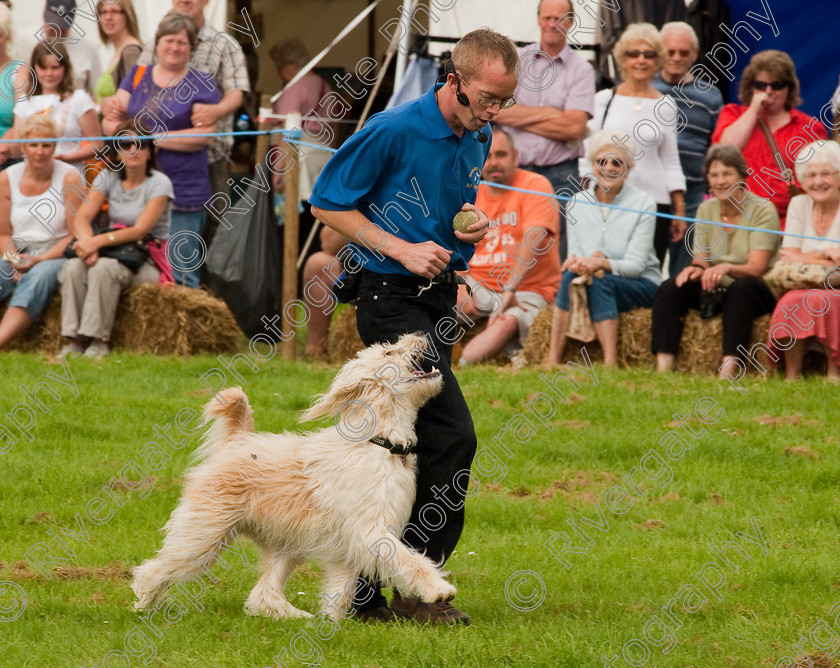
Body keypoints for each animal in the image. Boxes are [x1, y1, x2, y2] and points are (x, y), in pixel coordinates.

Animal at [133, 334, 460, 620]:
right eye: (389, 352)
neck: (378, 442)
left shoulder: (349, 548)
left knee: (263, 594)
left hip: (287, 544)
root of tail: (236, 441)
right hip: (205, 532)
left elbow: (340, 590)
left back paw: (298, 617)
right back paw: (143, 604)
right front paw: (439, 589)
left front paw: (330, 624)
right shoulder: (371, 531)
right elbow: (408, 560)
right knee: (157, 568)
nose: (420, 334)